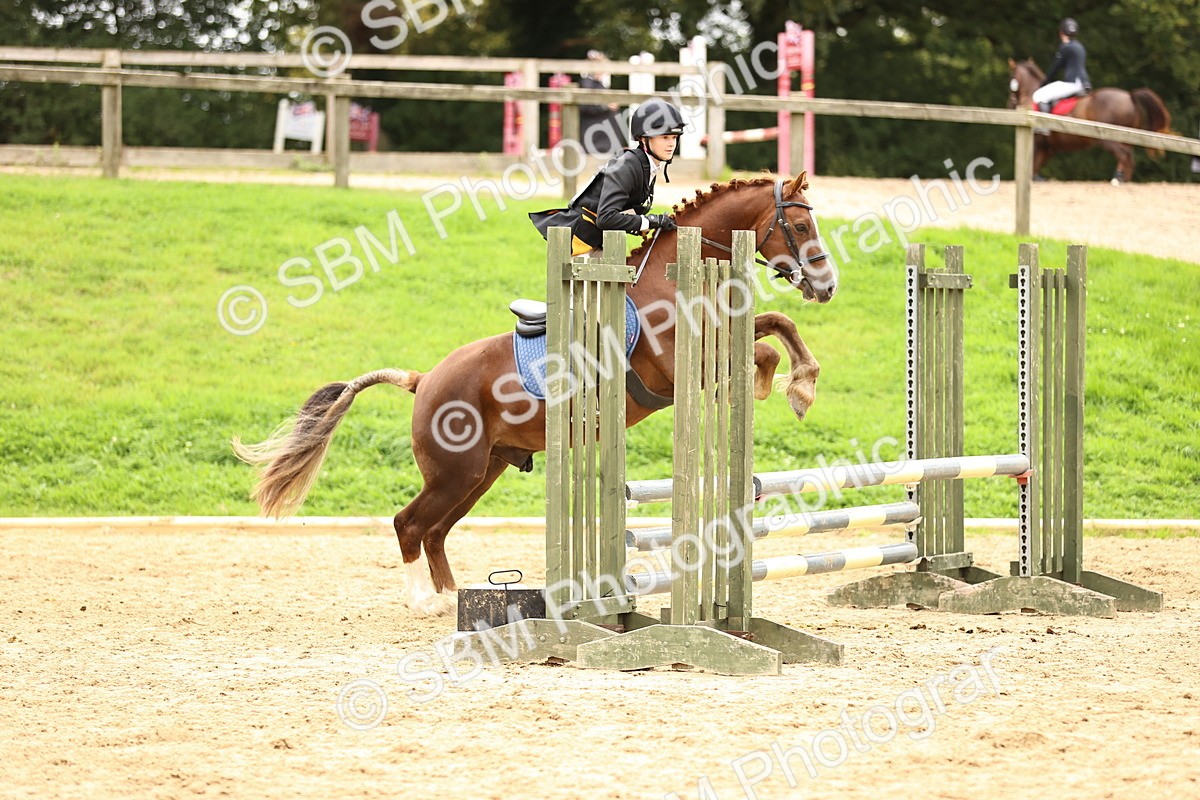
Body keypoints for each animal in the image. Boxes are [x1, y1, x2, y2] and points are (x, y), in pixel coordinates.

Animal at [232, 172, 836, 615]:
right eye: (799, 223)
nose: (827, 286)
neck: (670, 278)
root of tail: (424, 380)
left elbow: (775, 324)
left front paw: (800, 384)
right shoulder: (675, 363)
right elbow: (765, 345)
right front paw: (781, 387)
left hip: (483, 471)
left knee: (436, 530)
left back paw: (452, 596)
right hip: (455, 472)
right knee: (410, 524)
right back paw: (427, 603)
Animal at [1007, 58, 1172, 184]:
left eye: (1011, 79)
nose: (1010, 104)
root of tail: (1129, 96)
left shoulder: (1036, 142)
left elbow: (1031, 163)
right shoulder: (1048, 148)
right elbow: (1035, 166)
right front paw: (1037, 178)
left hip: (1109, 139)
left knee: (1123, 156)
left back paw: (1117, 179)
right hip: (1126, 138)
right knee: (1129, 157)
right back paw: (1124, 180)